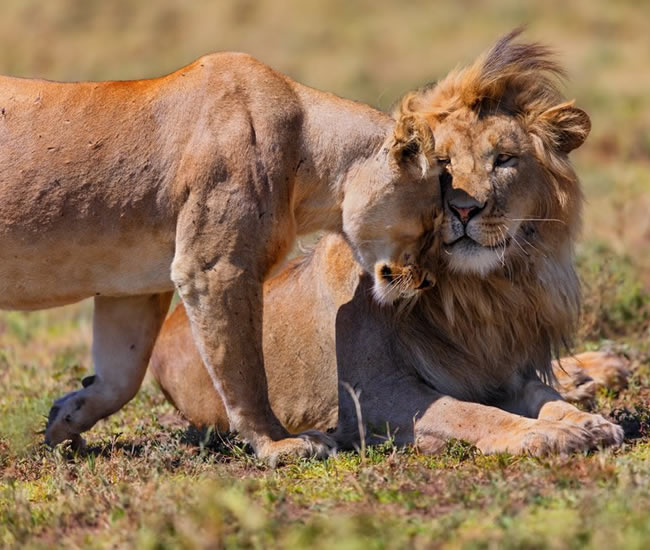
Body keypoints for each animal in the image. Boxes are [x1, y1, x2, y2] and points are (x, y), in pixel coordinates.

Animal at [1, 52, 440, 466]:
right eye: (434, 221)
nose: (427, 281)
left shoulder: (131, 288)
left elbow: (120, 377)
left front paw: (65, 419)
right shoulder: (215, 269)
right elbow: (244, 369)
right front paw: (279, 443)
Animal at [151, 32, 624, 460]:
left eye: (504, 160)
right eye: (443, 163)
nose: (465, 209)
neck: (478, 293)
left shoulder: (502, 370)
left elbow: (544, 396)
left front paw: (587, 422)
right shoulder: (370, 396)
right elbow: (469, 412)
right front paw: (541, 434)